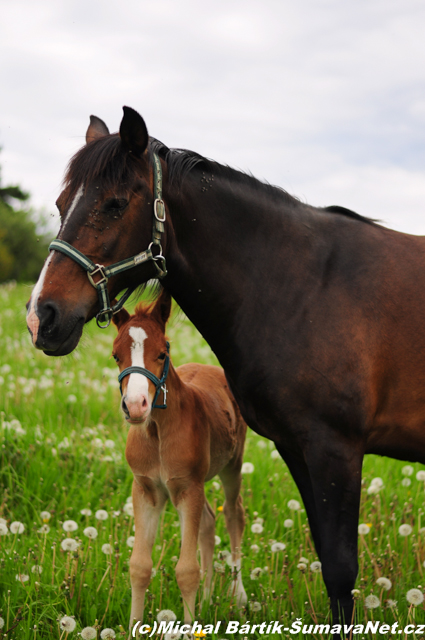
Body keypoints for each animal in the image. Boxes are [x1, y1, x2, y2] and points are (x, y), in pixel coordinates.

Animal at [111, 292, 247, 628]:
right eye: (116, 356)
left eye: (162, 354)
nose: (135, 406)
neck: (158, 432)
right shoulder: (145, 489)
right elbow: (139, 566)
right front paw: (134, 628)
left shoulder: (188, 487)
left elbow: (186, 571)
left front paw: (187, 630)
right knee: (209, 521)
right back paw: (208, 601)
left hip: (232, 465)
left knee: (233, 514)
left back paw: (238, 595)